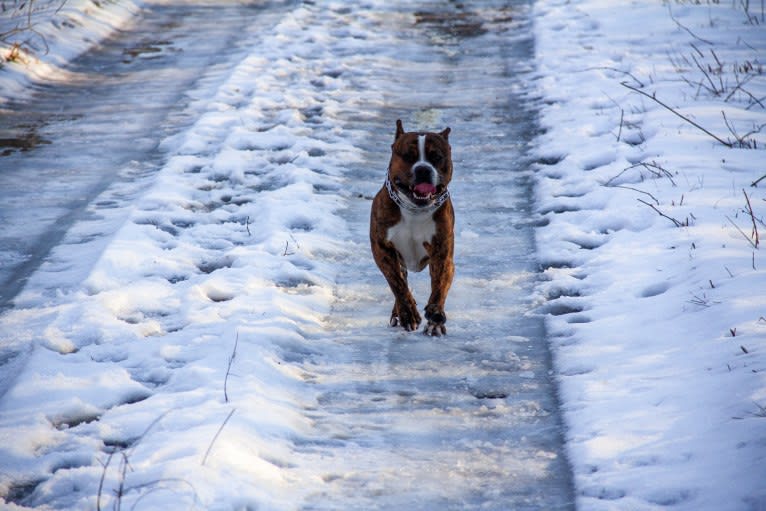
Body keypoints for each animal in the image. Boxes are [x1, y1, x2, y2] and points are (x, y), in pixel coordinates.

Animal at [372, 120, 456, 336]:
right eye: (408, 156)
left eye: (437, 157)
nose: (423, 169)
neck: (414, 210)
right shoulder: (383, 250)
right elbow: (398, 285)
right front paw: (408, 314)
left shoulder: (442, 254)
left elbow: (439, 286)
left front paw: (435, 315)